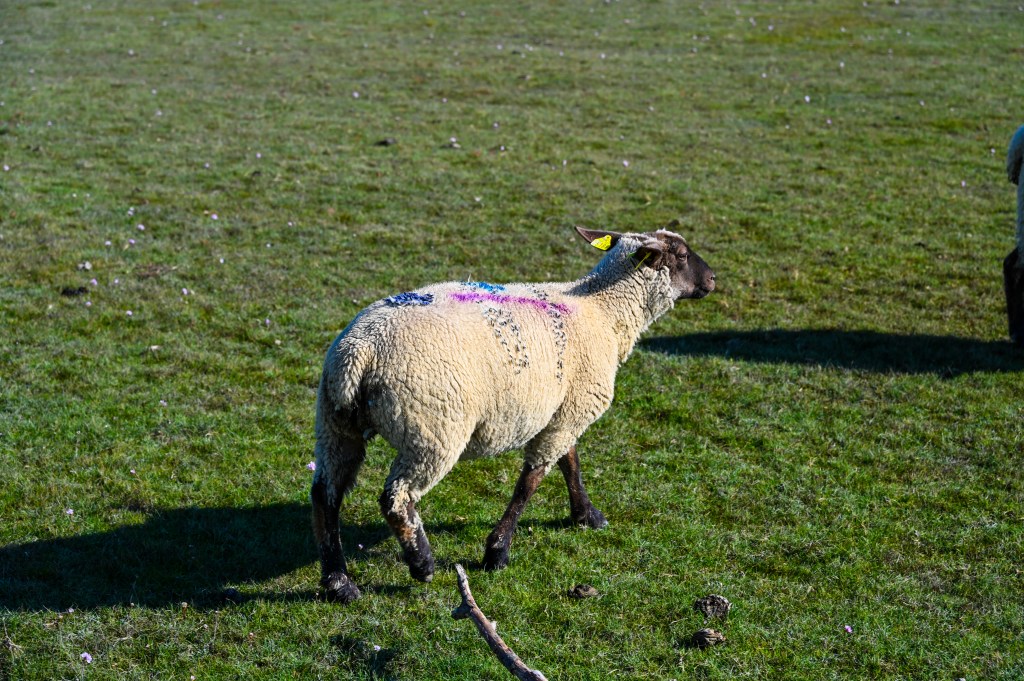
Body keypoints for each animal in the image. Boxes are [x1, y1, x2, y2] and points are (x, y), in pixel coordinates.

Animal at [311, 223, 716, 603]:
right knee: (396, 499)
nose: (713, 279)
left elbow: (570, 462)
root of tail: (360, 351)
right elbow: (531, 482)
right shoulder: (572, 411)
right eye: (681, 255)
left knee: (325, 493)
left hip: (335, 422)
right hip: (432, 430)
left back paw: (339, 582)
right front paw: (497, 551)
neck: (604, 311)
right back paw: (421, 564)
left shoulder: (563, 410)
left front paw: (586, 515)